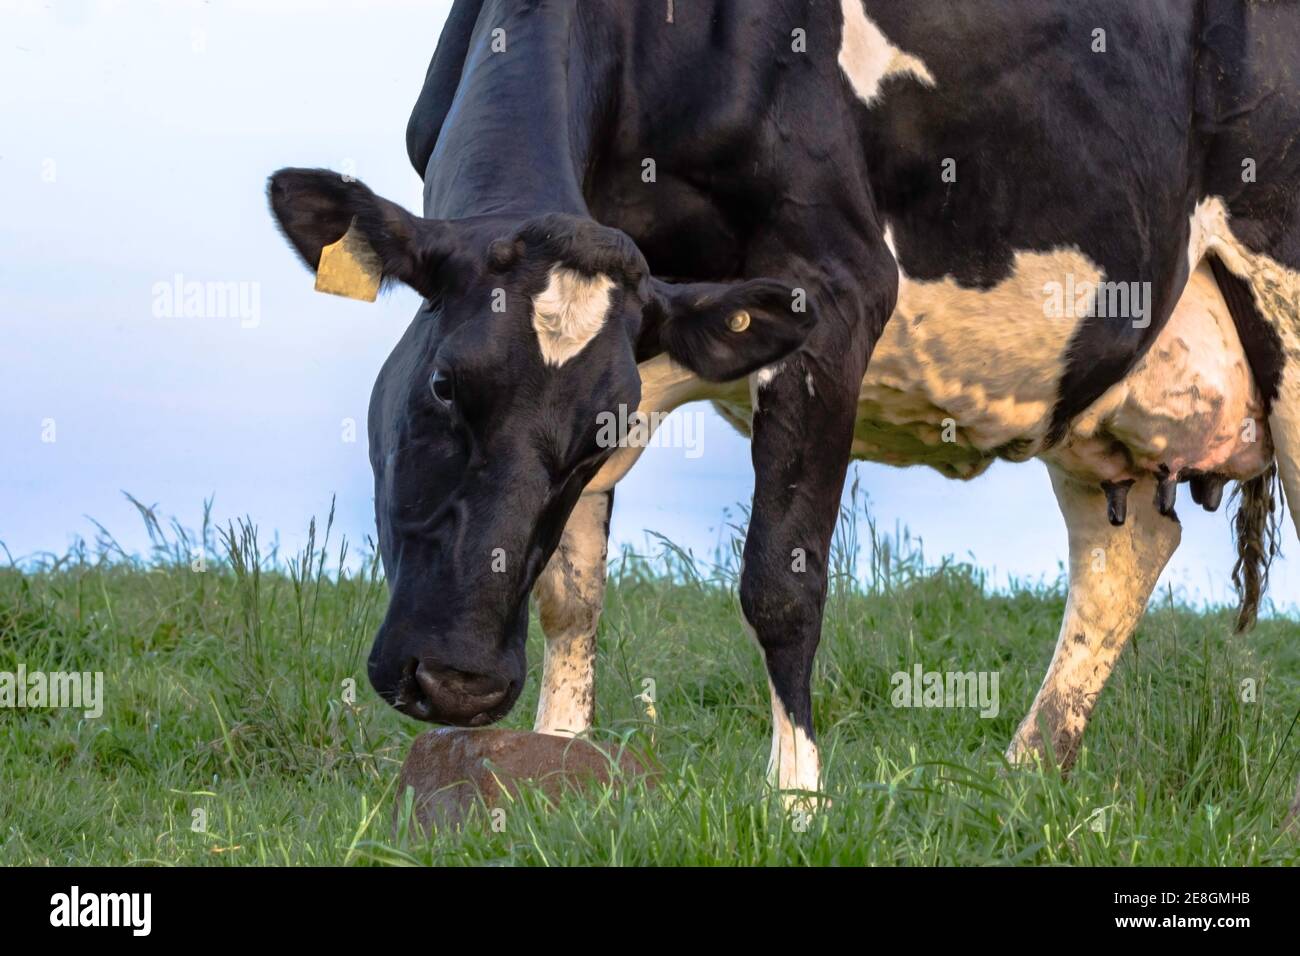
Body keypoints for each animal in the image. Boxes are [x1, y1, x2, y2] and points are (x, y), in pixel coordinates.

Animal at [268, 0, 1299, 805]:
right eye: (445, 384)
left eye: (590, 434)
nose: (461, 684)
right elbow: (571, 587)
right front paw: (554, 763)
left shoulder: (834, 288)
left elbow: (782, 582)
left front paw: (796, 801)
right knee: (1127, 548)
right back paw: (1030, 776)